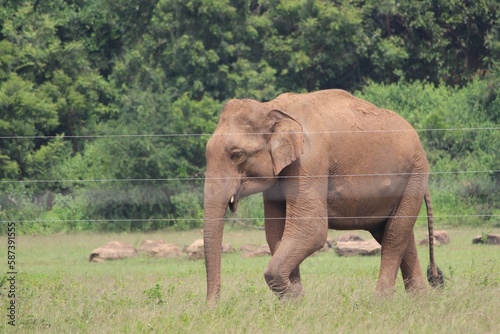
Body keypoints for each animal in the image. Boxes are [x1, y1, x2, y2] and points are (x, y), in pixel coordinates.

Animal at [201, 89, 444, 302]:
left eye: (236, 155)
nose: (213, 307)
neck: (273, 108)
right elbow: (276, 232)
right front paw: (295, 298)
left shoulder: (310, 160)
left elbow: (311, 229)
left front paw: (295, 295)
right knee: (395, 232)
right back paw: (420, 298)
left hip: (415, 175)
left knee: (395, 233)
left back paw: (381, 300)